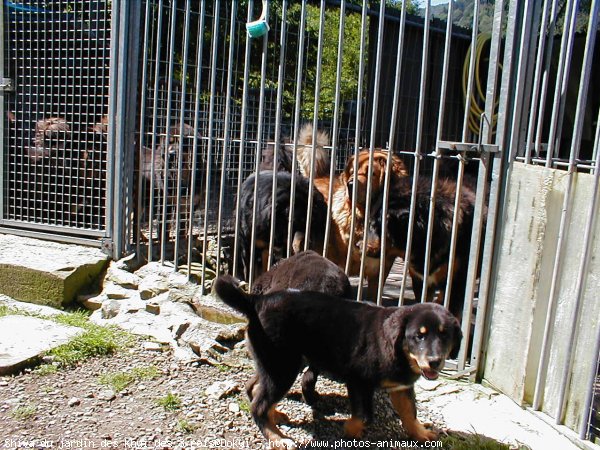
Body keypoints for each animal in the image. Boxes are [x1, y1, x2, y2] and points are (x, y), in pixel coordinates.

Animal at [214, 274, 460, 446]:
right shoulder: (359, 381)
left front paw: (421, 434)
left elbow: (410, 412)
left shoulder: (401, 386)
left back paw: (276, 417)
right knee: (258, 405)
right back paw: (278, 439)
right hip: (283, 366)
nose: (435, 361)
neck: (397, 349)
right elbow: (365, 415)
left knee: (254, 388)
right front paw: (350, 430)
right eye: (419, 336)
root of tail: (257, 300)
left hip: (276, 363)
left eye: (445, 335)